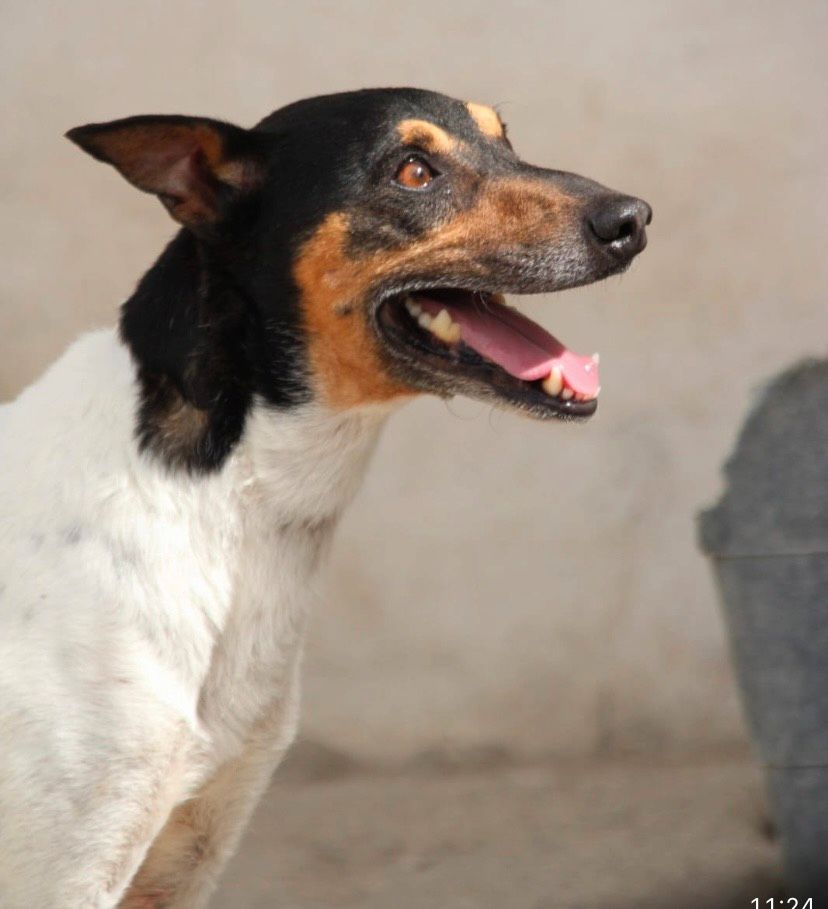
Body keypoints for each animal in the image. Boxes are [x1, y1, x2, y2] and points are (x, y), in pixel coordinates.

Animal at [0, 87, 652, 908]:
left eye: (506, 140)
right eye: (413, 171)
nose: (634, 219)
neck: (231, 495)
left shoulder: (188, 854)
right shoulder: (67, 871)